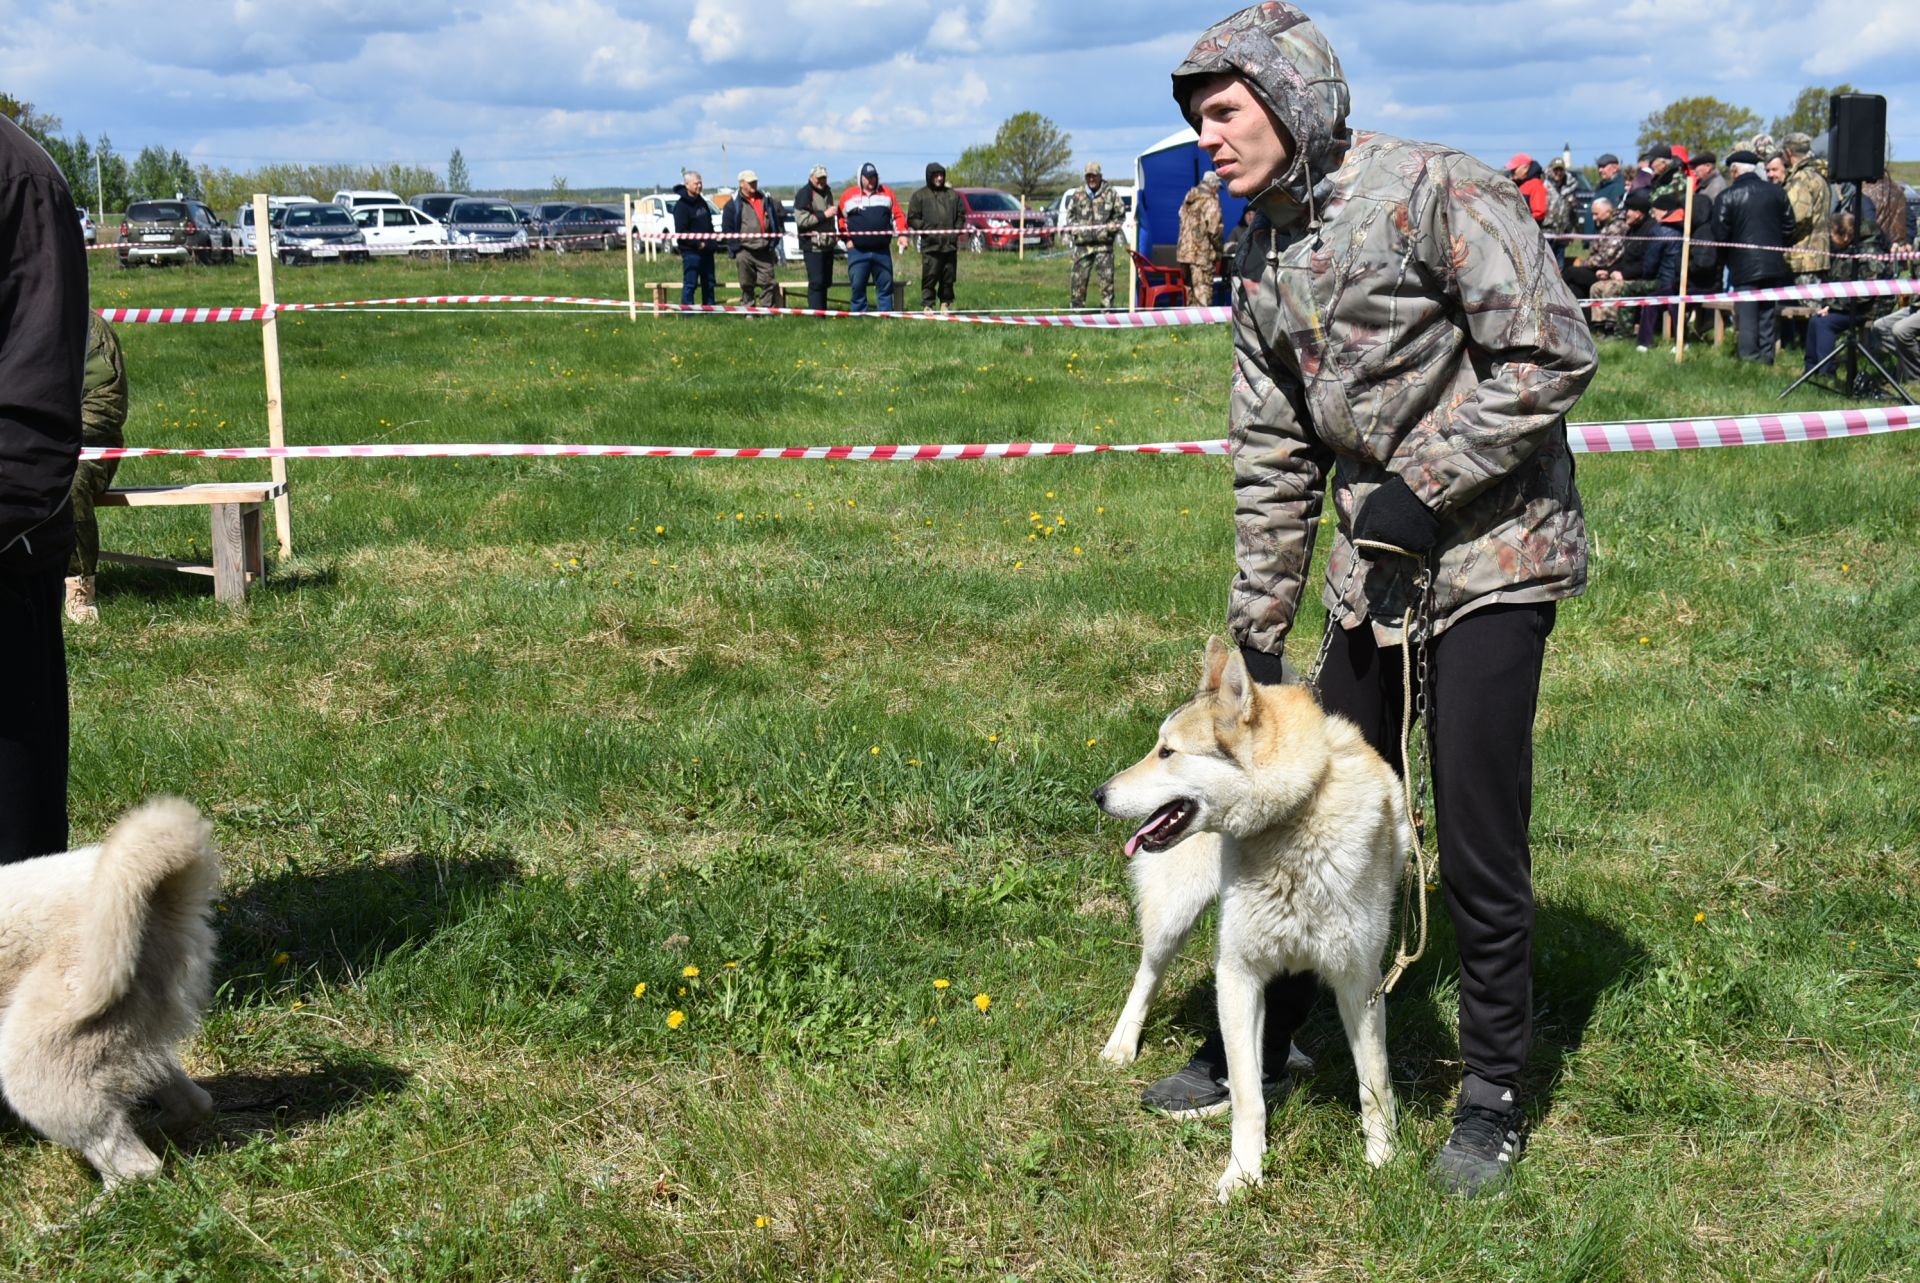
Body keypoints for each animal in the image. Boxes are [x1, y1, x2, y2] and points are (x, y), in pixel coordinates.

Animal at [1098, 641, 1413, 1206]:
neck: (1293, 819)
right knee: (1147, 974)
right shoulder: (1237, 975)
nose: (1099, 794)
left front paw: (1383, 1162)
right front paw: (1244, 1175)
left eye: (1167, 752)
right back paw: (1122, 1045)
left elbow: (1374, 1083)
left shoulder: (1361, 981)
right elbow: (1247, 1096)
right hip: (1174, 915)